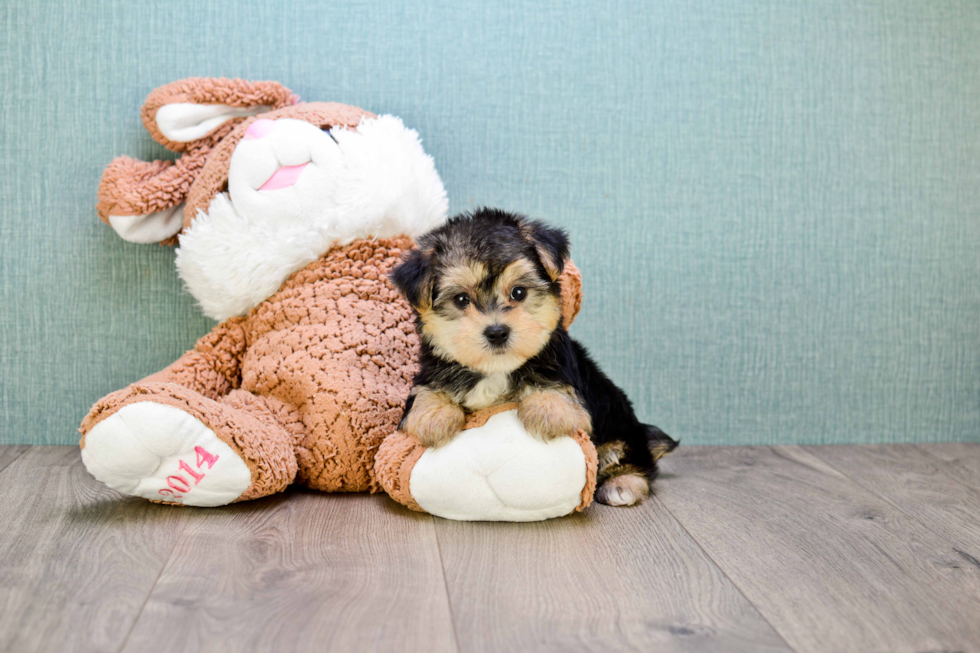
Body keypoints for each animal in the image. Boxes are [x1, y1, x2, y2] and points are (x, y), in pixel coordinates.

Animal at [386, 209, 676, 504]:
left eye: (519, 292)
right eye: (461, 299)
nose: (497, 332)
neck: (496, 370)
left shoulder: (567, 379)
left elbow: (558, 391)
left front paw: (546, 410)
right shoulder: (431, 370)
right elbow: (424, 392)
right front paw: (435, 417)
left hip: (619, 425)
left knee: (632, 459)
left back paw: (623, 485)